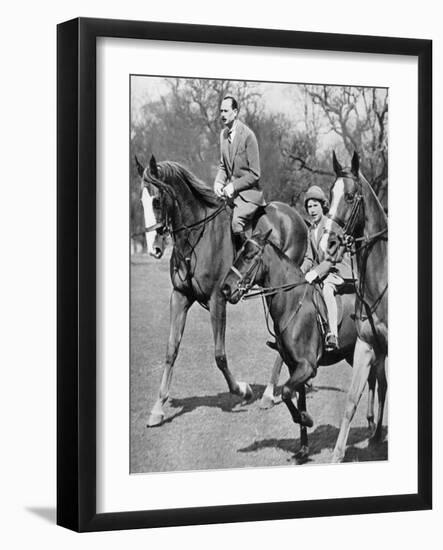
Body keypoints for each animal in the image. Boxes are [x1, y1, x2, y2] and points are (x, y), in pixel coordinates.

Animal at [135, 155, 308, 426]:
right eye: (141, 200)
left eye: (156, 200)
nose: (154, 248)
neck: (195, 237)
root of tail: (294, 215)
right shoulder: (180, 297)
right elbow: (171, 349)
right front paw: (158, 408)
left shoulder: (218, 299)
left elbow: (219, 355)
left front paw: (242, 390)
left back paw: (268, 394)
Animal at [220, 229, 380, 462]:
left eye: (249, 256)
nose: (224, 289)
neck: (291, 302)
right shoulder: (294, 367)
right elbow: (298, 398)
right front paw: (303, 450)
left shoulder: (307, 367)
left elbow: (287, 392)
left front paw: (306, 419)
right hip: (353, 354)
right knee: (373, 379)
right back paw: (371, 423)